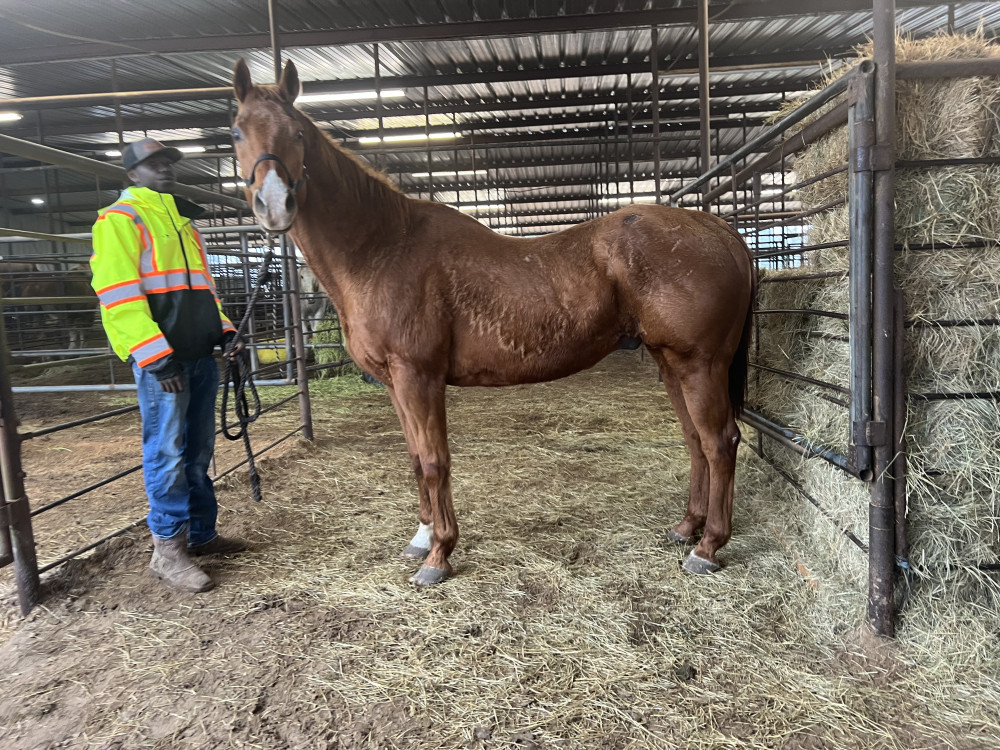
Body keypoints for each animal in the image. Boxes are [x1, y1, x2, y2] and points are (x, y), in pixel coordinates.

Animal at [231, 59, 757, 585]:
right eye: (237, 131)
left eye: (298, 133)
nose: (273, 205)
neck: (383, 248)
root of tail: (719, 230)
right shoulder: (394, 382)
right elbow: (414, 459)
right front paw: (421, 537)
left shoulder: (418, 377)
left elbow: (433, 462)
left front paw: (438, 555)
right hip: (670, 363)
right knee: (695, 440)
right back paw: (687, 527)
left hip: (699, 364)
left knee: (719, 442)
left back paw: (708, 546)